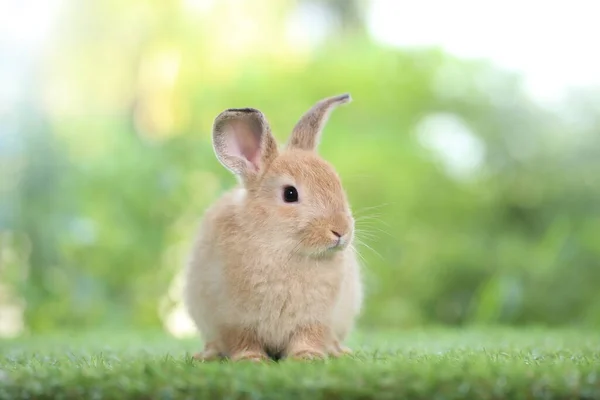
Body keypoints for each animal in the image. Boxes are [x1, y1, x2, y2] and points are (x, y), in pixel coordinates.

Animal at [182, 94, 360, 362]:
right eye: (290, 194)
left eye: (337, 184)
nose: (340, 231)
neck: (280, 246)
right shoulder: (234, 318)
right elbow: (243, 340)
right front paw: (251, 360)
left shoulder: (314, 319)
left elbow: (308, 337)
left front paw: (307, 357)